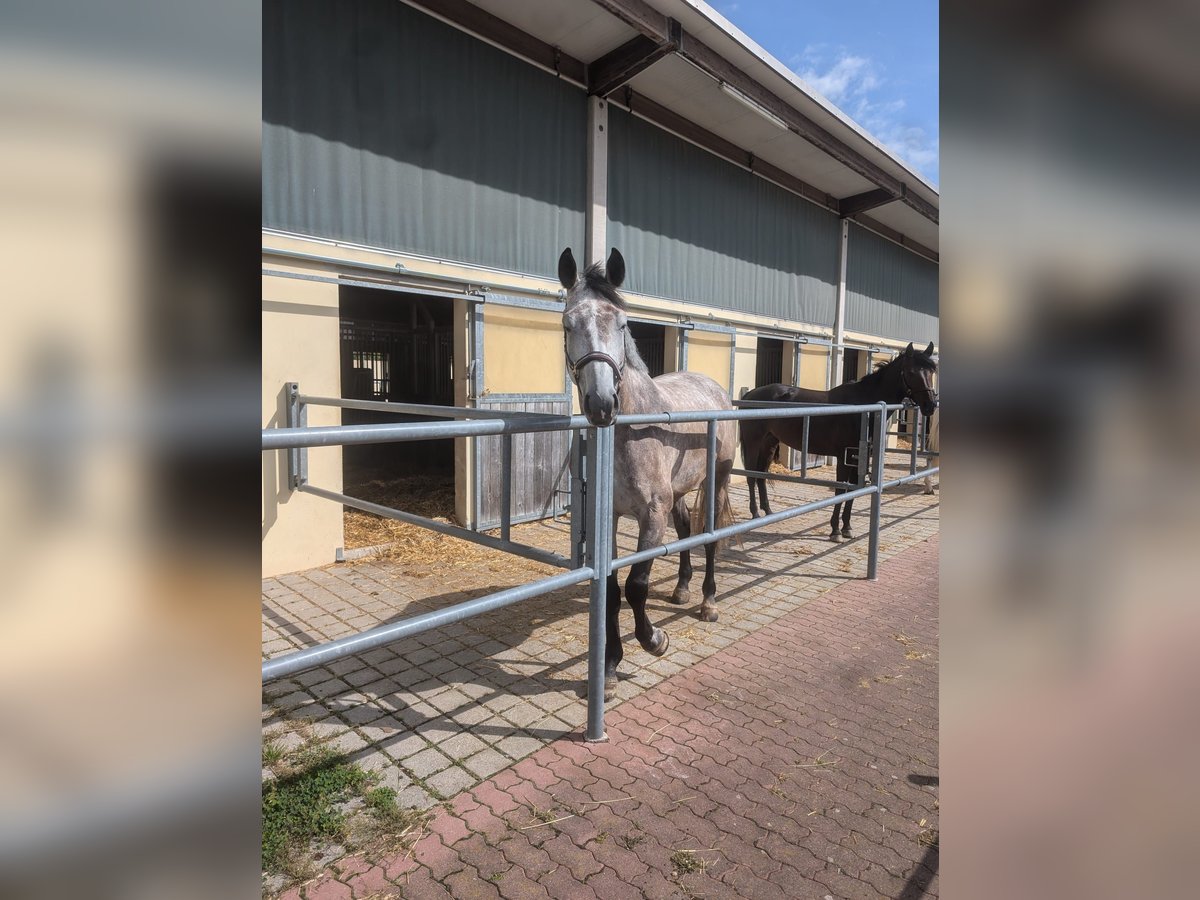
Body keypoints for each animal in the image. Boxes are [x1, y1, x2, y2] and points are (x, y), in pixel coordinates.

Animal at [556, 250, 734, 700]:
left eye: (621, 323)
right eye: (568, 323)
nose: (602, 404)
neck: (633, 431)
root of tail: (713, 386)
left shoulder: (651, 514)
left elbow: (636, 586)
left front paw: (655, 640)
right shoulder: (606, 517)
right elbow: (613, 590)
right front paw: (609, 668)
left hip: (716, 481)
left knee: (709, 538)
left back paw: (707, 603)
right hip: (680, 493)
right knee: (686, 529)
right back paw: (682, 589)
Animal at [734, 343, 940, 542]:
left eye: (932, 372)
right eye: (911, 372)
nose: (930, 405)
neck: (863, 408)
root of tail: (750, 395)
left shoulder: (858, 459)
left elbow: (853, 491)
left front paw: (847, 528)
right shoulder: (843, 457)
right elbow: (841, 490)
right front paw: (835, 531)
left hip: (769, 443)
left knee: (761, 474)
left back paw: (768, 511)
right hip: (753, 443)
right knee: (750, 475)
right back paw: (755, 513)